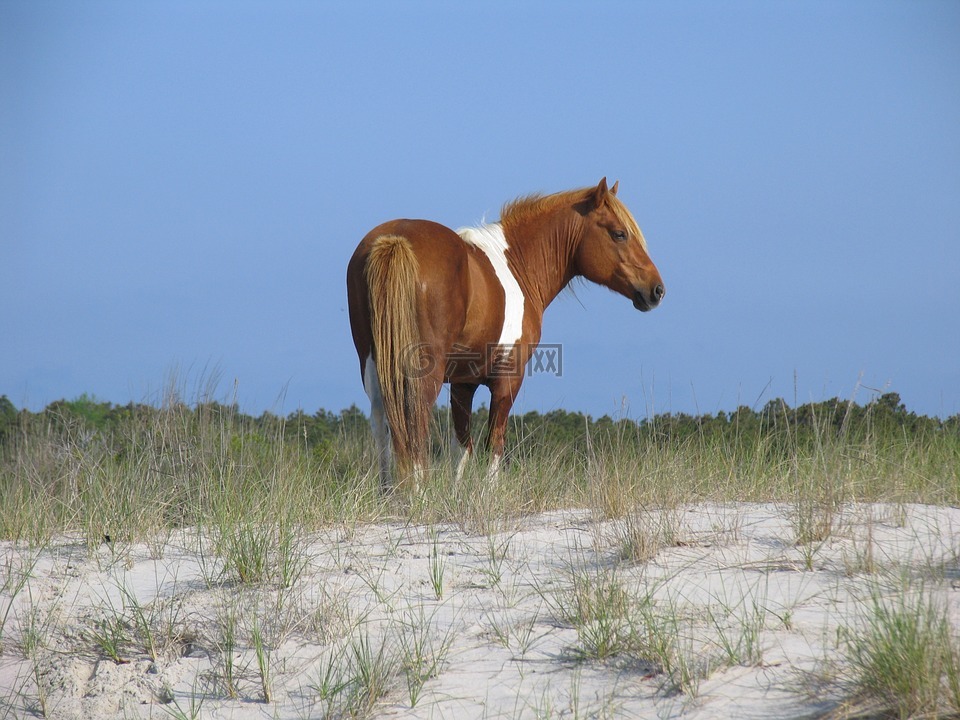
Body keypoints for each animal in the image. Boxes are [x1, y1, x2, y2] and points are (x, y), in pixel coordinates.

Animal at [346, 178, 668, 490]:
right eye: (619, 234)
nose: (656, 290)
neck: (518, 264)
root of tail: (396, 240)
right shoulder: (508, 379)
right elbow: (494, 444)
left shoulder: (463, 383)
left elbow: (461, 448)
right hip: (424, 372)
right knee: (416, 425)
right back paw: (418, 495)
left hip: (374, 366)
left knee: (382, 426)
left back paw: (389, 494)